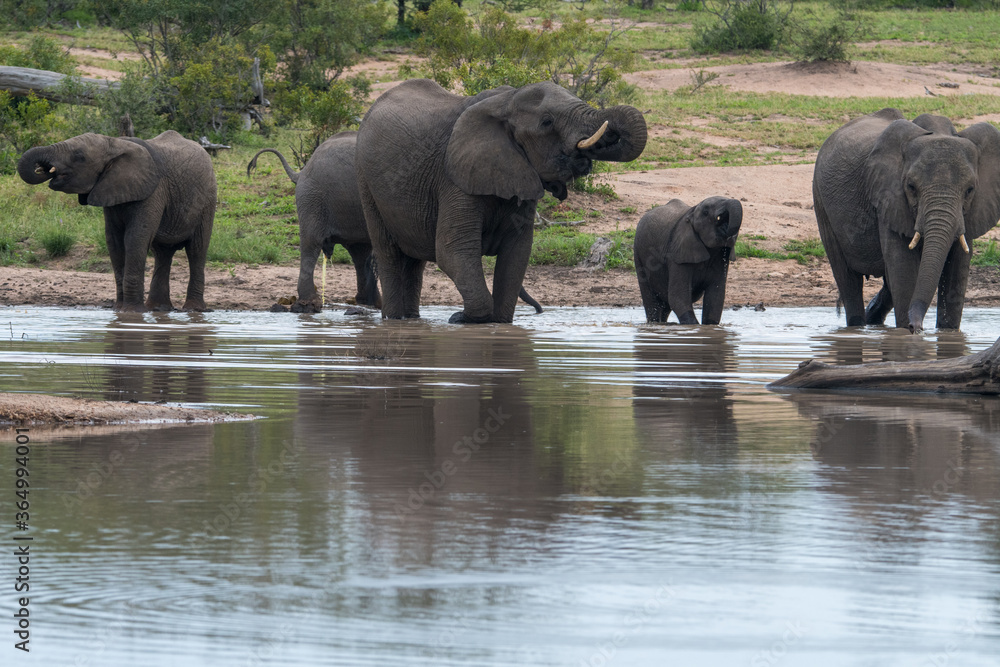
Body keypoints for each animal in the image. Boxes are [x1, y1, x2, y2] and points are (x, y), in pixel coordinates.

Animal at [17, 131, 215, 312]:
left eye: (79, 156)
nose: (42, 168)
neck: (114, 143)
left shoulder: (154, 191)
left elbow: (135, 238)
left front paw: (133, 312)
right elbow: (114, 241)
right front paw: (120, 311)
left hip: (208, 201)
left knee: (197, 250)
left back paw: (194, 310)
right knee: (163, 253)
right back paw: (159, 309)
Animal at [247, 131, 543, 314]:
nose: (540, 310)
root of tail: (302, 170)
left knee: (359, 253)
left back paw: (371, 303)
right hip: (312, 200)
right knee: (311, 245)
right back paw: (310, 305)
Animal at [355, 79, 646, 323]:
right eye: (547, 122)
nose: (607, 134)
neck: (507, 102)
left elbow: (516, 253)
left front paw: (499, 322)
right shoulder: (454, 178)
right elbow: (453, 250)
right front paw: (461, 319)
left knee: (414, 262)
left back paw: (411, 320)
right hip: (366, 184)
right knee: (389, 253)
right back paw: (395, 320)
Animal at [813, 108, 1000, 332]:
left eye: (970, 190)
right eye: (911, 187)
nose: (916, 327)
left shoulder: (970, 211)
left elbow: (957, 269)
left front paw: (947, 333)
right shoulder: (888, 197)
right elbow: (903, 267)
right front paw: (905, 332)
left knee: (886, 284)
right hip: (821, 201)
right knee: (849, 281)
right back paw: (857, 326)